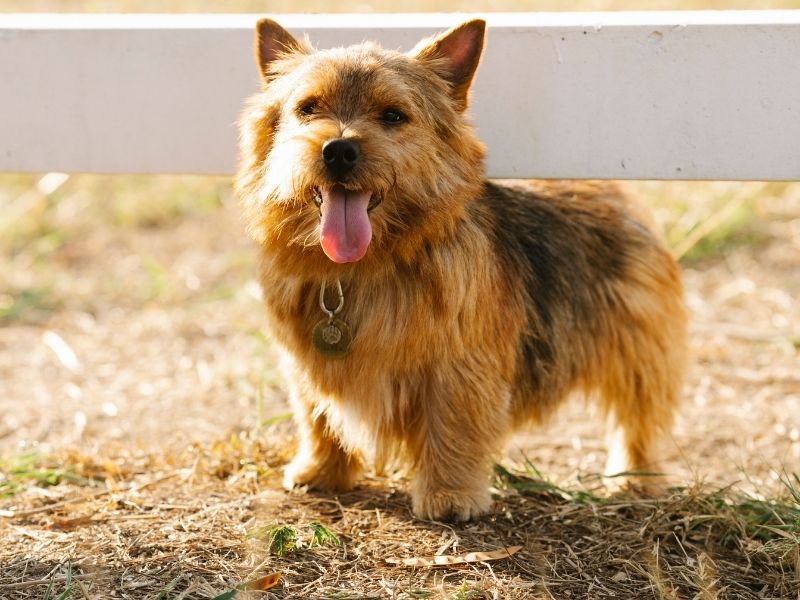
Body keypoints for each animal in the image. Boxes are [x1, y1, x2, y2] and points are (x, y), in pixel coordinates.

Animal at [236, 18, 688, 520]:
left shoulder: (460, 363)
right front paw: (321, 471)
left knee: (640, 414)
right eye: (307, 108)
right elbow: (317, 417)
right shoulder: (306, 362)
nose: (337, 150)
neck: (365, 266)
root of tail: (608, 187)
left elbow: (453, 423)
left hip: (637, 345)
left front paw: (449, 495)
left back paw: (635, 477)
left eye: (392, 115)